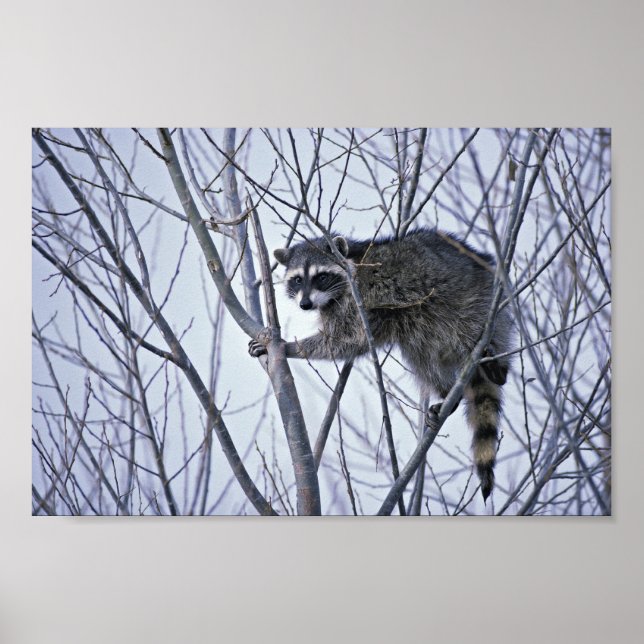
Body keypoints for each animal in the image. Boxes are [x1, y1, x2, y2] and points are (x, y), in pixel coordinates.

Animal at [249, 228, 513, 501]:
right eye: (298, 280)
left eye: (321, 277)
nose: (305, 304)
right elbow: (349, 343)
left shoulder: (359, 300)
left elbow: (347, 339)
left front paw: (290, 347)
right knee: (419, 353)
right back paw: (446, 391)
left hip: (474, 302)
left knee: (467, 328)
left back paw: (497, 367)